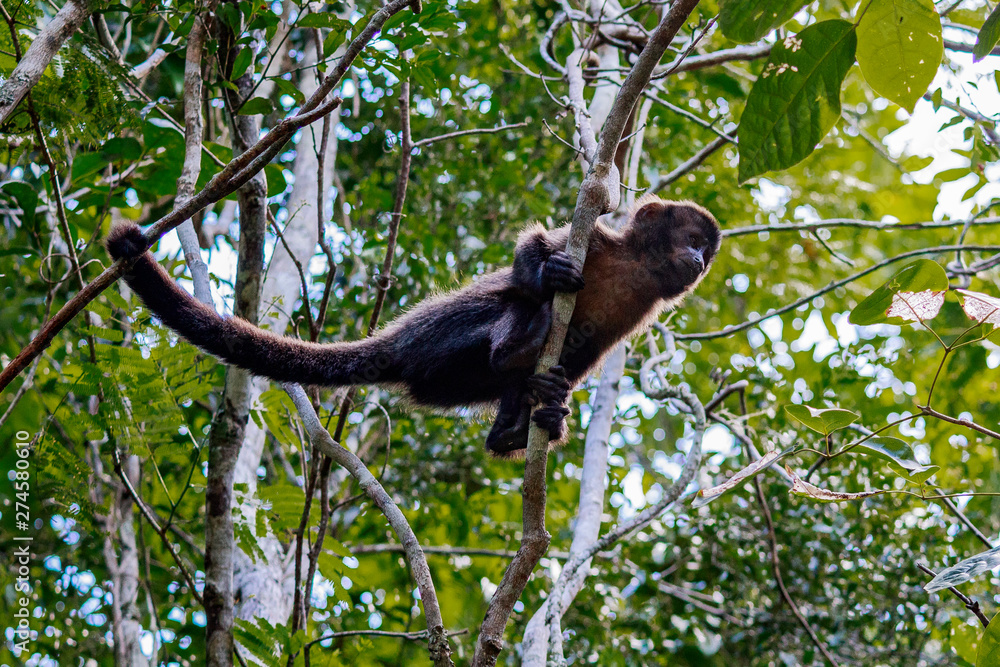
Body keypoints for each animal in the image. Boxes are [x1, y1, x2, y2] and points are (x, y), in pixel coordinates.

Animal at [105, 195, 721, 457]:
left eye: (706, 250)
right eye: (692, 238)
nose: (698, 260)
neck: (636, 268)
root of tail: (395, 344)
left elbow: (586, 355)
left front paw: (551, 402)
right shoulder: (596, 239)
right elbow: (533, 250)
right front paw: (548, 274)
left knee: (516, 385)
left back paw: (520, 424)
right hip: (442, 339)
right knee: (508, 311)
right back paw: (522, 339)